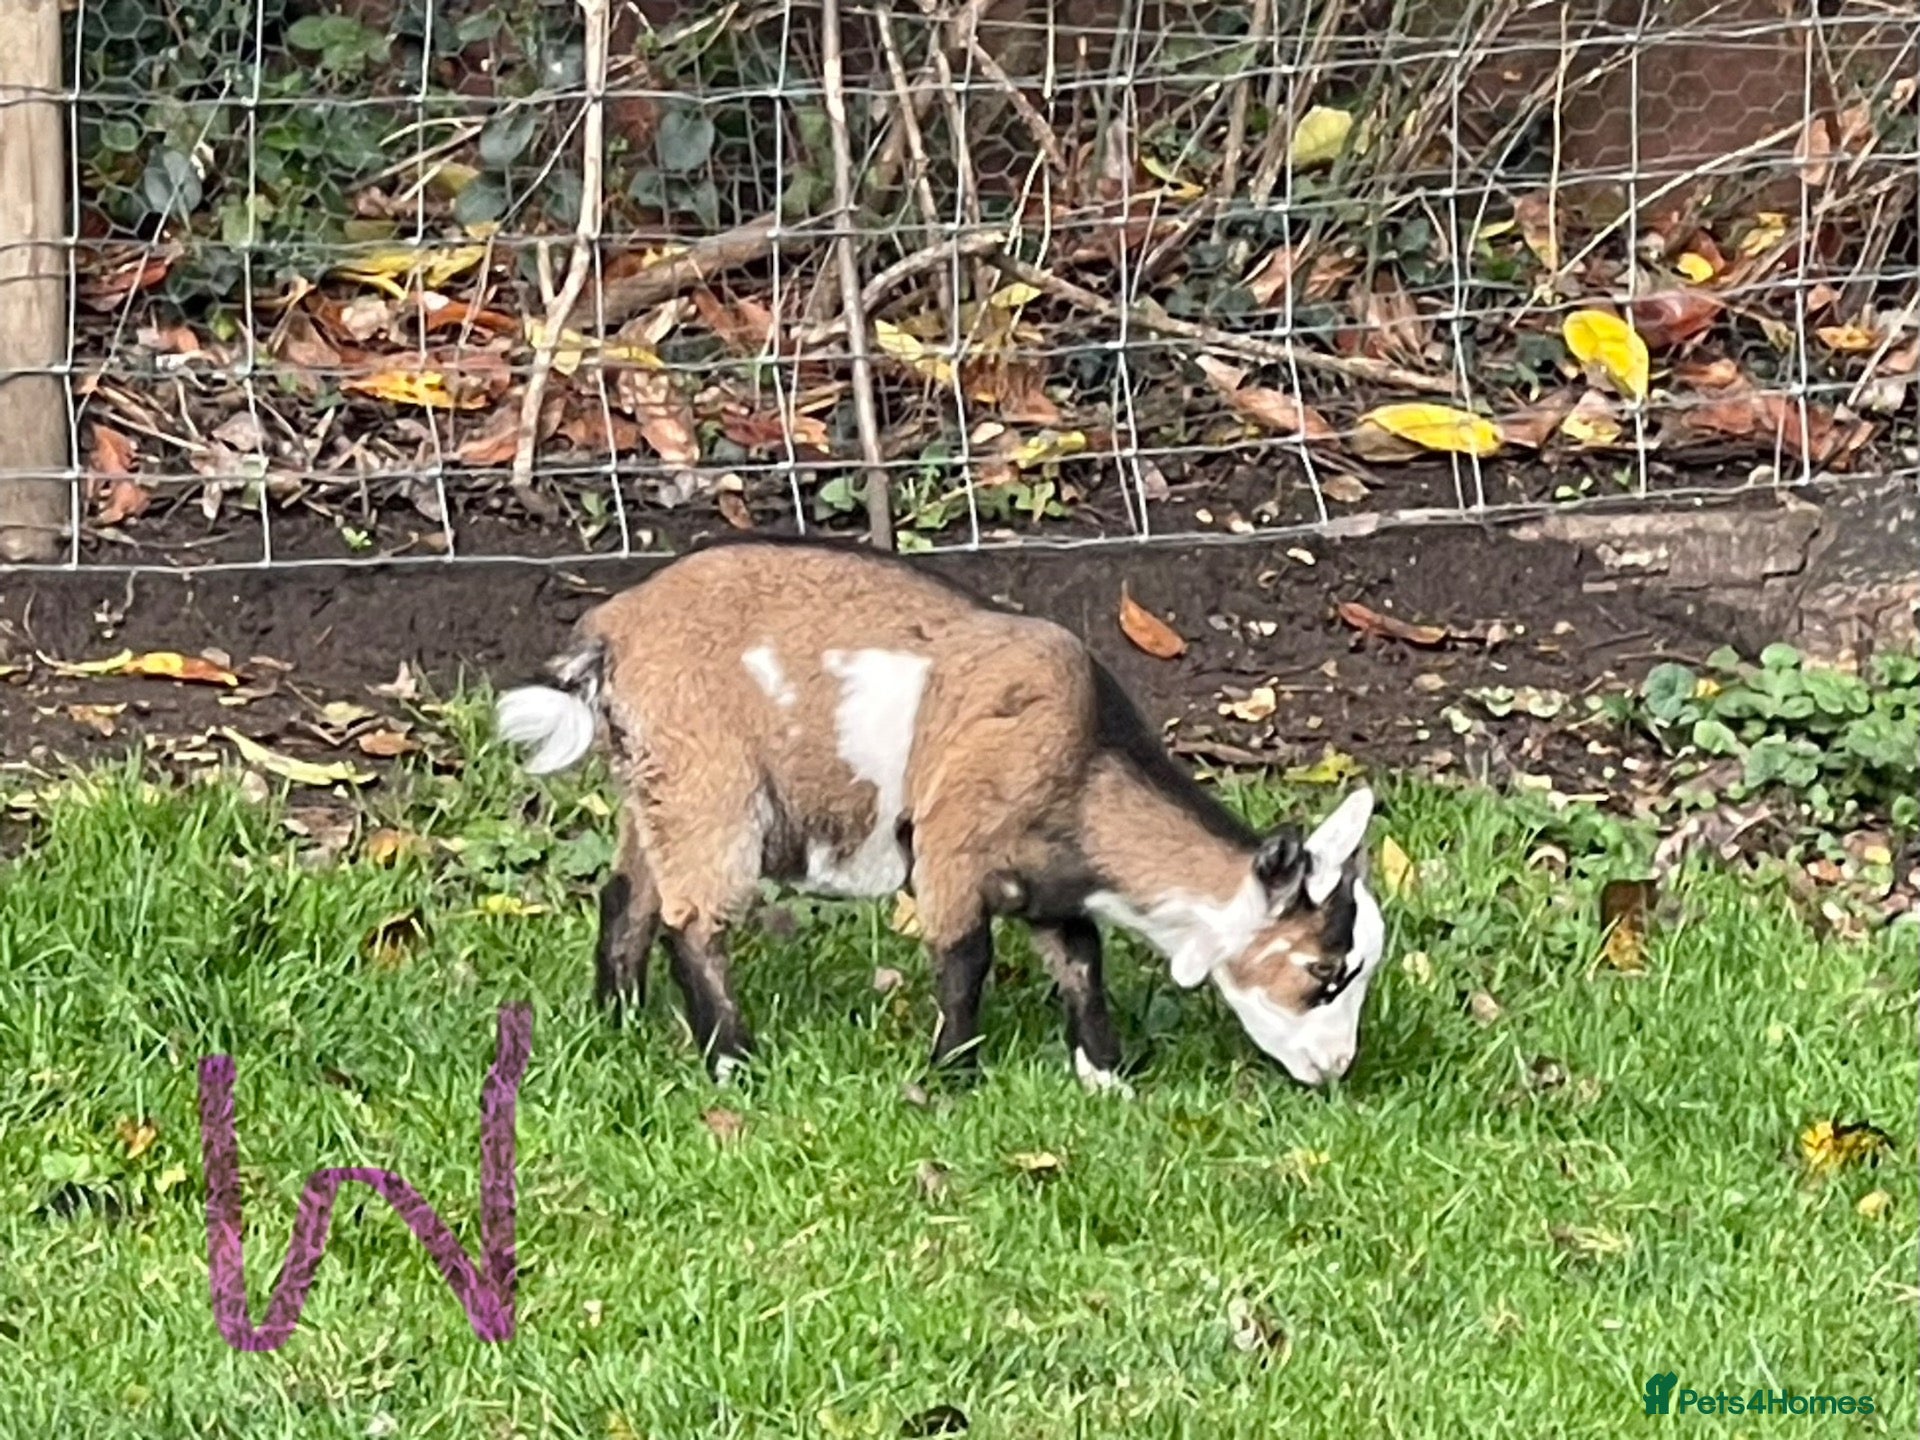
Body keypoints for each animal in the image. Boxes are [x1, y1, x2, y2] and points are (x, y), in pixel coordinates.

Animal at [495, 537, 1387, 1090]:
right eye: (1323, 973)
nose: (1337, 1069)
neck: (1085, 757)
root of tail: (611, 632)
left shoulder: (1048, 882)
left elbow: (1082, 963)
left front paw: (1106, 1074)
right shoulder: (953, 846)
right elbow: (965, 963)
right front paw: (954, 1074)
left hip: (657, 783)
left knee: (628, 897)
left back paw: (620, 1021)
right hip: (709, 781)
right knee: (694, 921)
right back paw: (735, 1061)